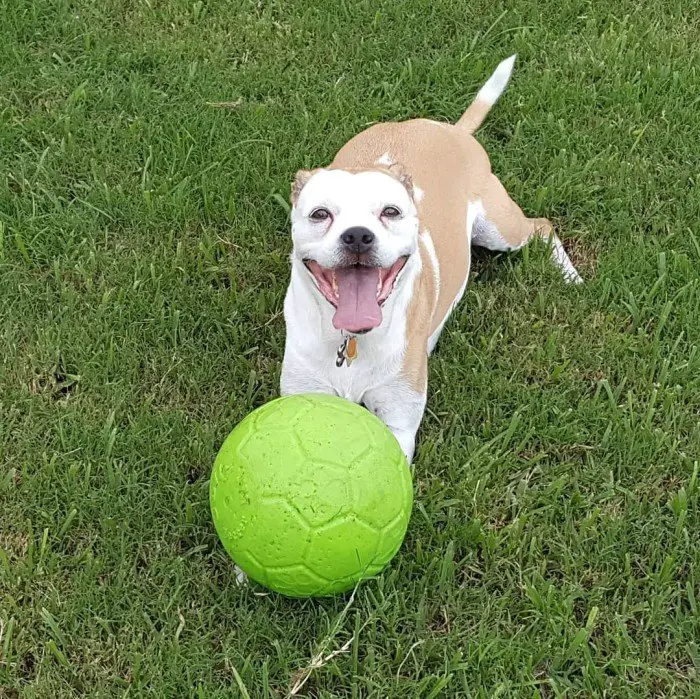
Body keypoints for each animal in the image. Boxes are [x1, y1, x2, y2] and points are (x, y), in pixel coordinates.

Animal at [278, 57, 580, 462]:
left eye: (390, 212)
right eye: (320, 214)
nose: (357, 235)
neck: (351, 343)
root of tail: (451, 131)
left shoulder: (398, 424)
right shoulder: (302, 397)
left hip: (500, 228)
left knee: (542, 226)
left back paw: (570, 276)